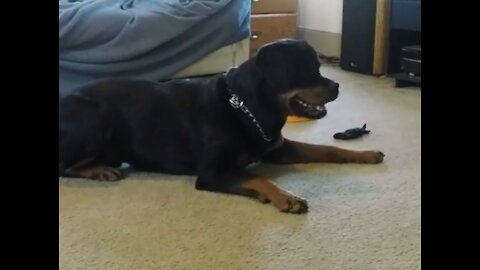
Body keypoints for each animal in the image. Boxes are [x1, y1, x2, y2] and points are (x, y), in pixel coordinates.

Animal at [60, 39, 384, 213]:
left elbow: (327, 149)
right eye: (306, 70)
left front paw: (365, 154)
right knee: (64, 165)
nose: (338, 86)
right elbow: (258, 177)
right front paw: (286, 197)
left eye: (319, 67)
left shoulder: (277, 147)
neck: (249, 108)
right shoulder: (211, 173)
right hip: (94, 120)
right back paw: (99, 170)